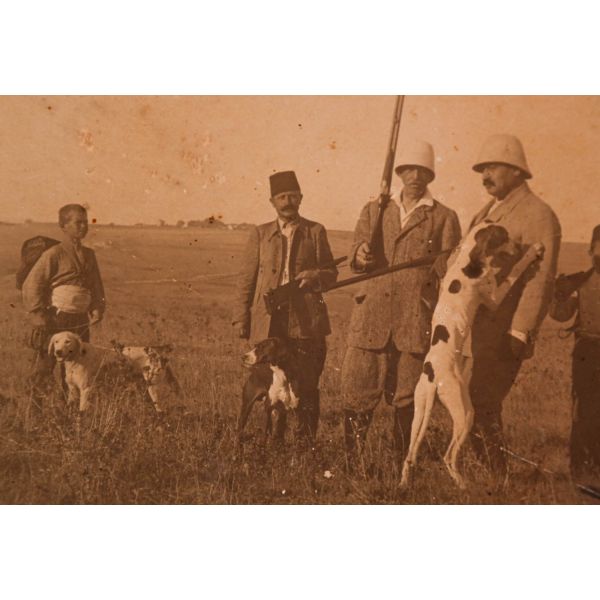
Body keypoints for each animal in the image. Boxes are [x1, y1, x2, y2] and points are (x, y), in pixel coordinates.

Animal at [400, 223, 545, 488]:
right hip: (465, 413)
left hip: (420, 411)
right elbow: (514, 272)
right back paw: (462, 483)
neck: (467, 259)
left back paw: (404, 482)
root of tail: (434, 377)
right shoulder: (494, 295)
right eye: (504, 236)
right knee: (448, 456)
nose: (519, 244)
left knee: (410, 453)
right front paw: (531, 253)